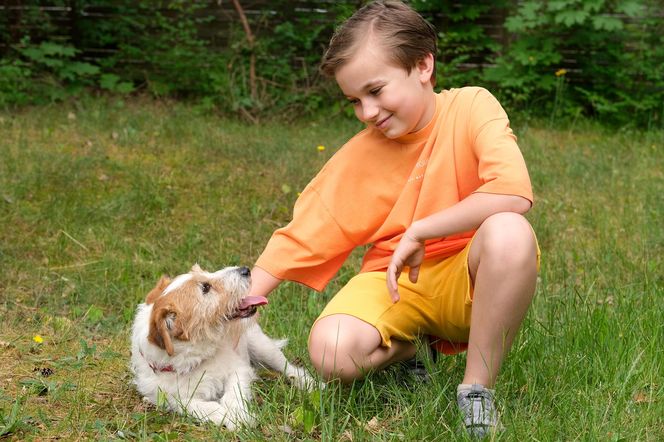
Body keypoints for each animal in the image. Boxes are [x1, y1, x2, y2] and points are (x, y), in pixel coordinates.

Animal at [132, 264, 316, 430]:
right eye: (205, 287)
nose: (245, 269)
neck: (196, 358)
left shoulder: (238, 370)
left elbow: (233, 394)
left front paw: (239, 415)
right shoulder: (175, 400)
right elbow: (203, 407)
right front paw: (232, 417)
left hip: (262, 347)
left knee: (288, 368)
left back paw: (310, 384)